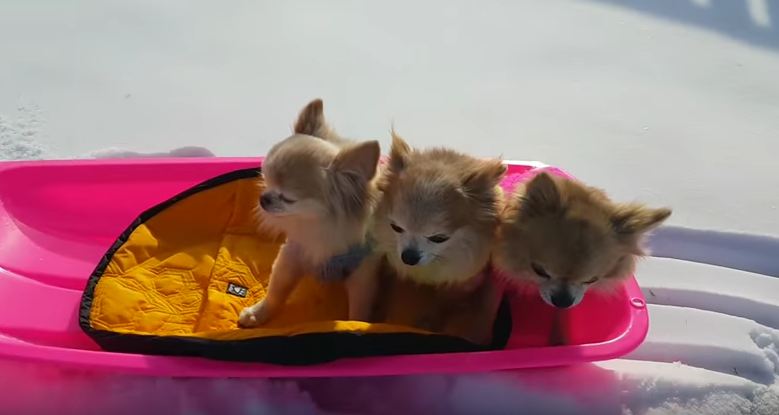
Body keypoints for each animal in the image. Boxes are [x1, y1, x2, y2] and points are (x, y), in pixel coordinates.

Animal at [239, 100, 382, 328]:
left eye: (288, 199)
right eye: (266, 180)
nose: (263, 199)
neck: (318, 225)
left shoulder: (363, 275)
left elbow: (359, 309)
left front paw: (356, 325)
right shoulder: (292, 254)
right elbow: (276, 290)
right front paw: (258, 312)